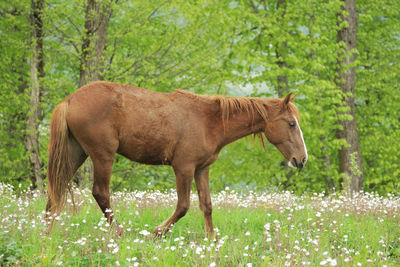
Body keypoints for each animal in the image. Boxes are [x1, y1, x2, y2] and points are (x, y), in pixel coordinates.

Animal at [47, 80, 310, 238]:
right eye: (291, 123)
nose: (301, 159)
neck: (209, 121)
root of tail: (69, 100)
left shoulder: (202, 169)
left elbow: (207, 205)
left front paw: (211, 240)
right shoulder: (183, 168)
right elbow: (183, 206)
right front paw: (157, 232)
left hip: (75, 154)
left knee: (55, 191)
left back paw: (47, 232)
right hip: (103, 156)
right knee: (101, 193)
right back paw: (120, 234)